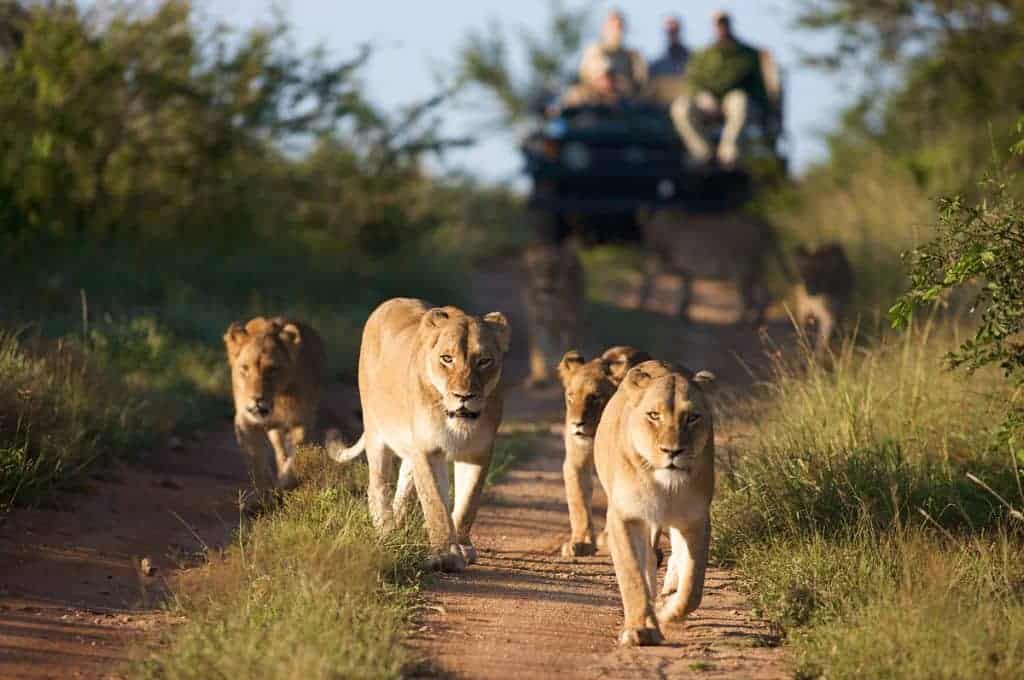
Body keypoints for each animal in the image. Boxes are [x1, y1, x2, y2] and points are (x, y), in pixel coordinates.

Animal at [225, 317, 327, 499]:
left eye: (272, 369)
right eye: (245, 368)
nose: (256, 399)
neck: (276, 401)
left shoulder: (301, 422)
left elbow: (293, 459)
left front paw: (284, 486)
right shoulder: (245, 421)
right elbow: (257, 461)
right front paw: (266, 494)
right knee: (279, 451)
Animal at [329, 301, 509, 569]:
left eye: (485, 361)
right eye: (447, 358)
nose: (464, 396)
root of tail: (388, 303)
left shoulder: (478, 451)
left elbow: (467, 503)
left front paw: (463, 547)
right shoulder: (428, 449)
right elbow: (435, 503)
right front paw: (446, 556)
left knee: (404, 482)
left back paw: (400, 524)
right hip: (376, 431)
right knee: (377, 485)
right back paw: (387, 530)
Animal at [557, 348, 651, 557]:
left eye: (594, 398)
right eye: (570, 397)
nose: (576, 424)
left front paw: (608, 538)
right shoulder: (576, 460)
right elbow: (579, 503)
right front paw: (580, 542)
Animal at [598, 358, 716, 647]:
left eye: (692, 417)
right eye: (654, 415)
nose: (673, 451)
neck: (666, 485)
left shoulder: (696, 518)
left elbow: (693, 586)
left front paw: (666, 610)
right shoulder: (624, 517)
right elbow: (632, 574)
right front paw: (640, 629)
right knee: (648, 562)